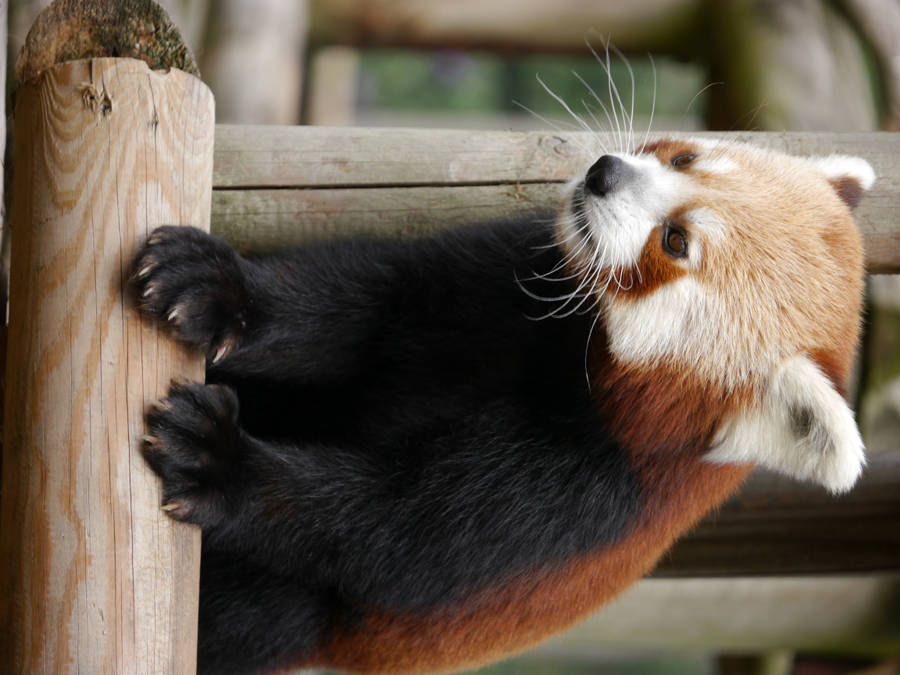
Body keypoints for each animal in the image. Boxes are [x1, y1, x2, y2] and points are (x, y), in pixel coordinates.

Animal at [132, 136, 872, 674]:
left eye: (676, 241)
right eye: (684, 158)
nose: (603, 172)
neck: (570, 349)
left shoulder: (588, 493)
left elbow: (392, 530)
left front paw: (222, 462)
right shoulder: (508, 275)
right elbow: (371, 303)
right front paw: (223, 290)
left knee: (263, 606)